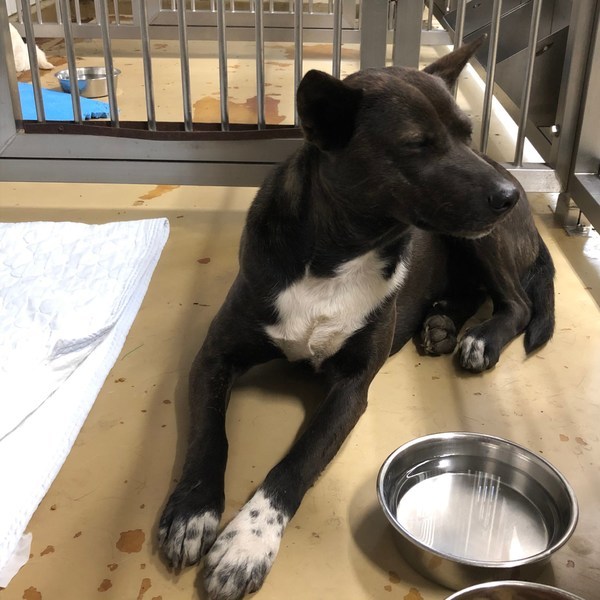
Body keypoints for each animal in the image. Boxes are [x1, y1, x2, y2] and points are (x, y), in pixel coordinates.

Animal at [158, 38, 555, 600]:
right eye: (416, 145)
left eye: (465, 132)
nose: (510, 195)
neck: (338, 255)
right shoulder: (214, 357)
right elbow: (209, 435)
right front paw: (193, 510)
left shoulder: (350, 388)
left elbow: (296, 462)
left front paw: (248, 543)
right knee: (471, 293)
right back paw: (441, 324)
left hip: (484, 243)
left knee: (515, 302)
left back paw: (479, 338)